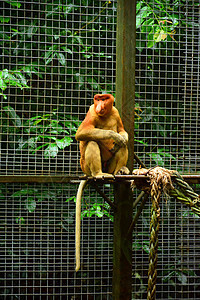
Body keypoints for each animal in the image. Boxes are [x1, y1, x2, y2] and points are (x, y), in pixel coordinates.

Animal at [74, 92, 129, 270]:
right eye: (97, 99)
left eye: (104, 99)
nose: (99, 104)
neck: (105, 114)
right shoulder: (92, 111)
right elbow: (82, 133)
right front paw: (114, 137)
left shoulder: (115, 111)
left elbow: (123, 131)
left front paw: (121, 138)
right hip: (85, 166)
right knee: (92, 141)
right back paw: (98, 174)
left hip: (109, 167)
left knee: (124, 147)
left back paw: (120, 171)